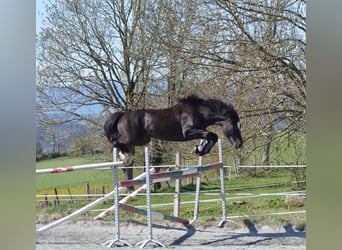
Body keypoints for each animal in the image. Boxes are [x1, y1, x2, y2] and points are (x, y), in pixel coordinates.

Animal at [103, 94, 242, 190]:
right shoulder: (188, 132)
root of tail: (123, 115)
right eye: (234, 126)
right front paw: (200, 149)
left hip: (141, 140)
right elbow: (212, 135)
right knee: (115, 141)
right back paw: (124, 157)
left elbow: (211, 136)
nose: (239, 144)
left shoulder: (198, 131)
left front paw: (200, 149)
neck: (199, 112)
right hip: (133, 138)